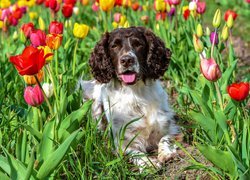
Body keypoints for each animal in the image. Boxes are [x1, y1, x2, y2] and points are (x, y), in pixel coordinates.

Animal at [80, 26, 180, 169]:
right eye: (114, 46)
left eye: (138, 44)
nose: (127, 60)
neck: (135, 93)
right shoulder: (122, 141)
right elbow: (136, 153)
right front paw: (149, 164)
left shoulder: (169, 126)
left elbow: (165, 139)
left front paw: (166, 153)